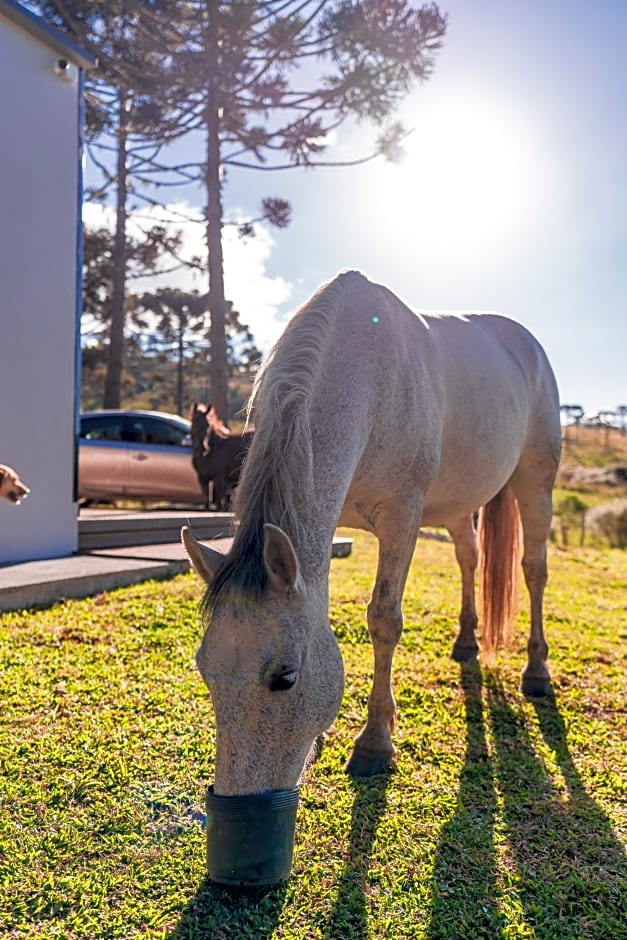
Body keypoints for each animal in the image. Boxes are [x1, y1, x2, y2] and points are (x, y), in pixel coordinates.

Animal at [182, 268, 560, 796]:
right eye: (204, 669)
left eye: (285, 677)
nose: (238, 805)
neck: (367, 375)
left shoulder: (402, 517)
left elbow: (384, 619)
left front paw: (374, 742)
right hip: (460, 503)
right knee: (469, 557)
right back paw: (467, 642)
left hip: (536, 482)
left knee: (533, 569)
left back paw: (537, 670)